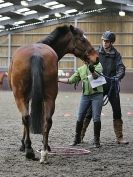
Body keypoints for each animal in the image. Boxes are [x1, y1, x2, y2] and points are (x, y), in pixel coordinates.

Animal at [8, 24, 98, 163]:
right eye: (82, 39)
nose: (96, 57)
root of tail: (36, 53)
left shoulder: (27, 98)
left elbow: (25, 120)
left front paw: (23, 145)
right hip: (49, 97)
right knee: (47, 120)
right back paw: (44, 152)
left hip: (20, 97)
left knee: (27, 118)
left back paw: (29, 150)